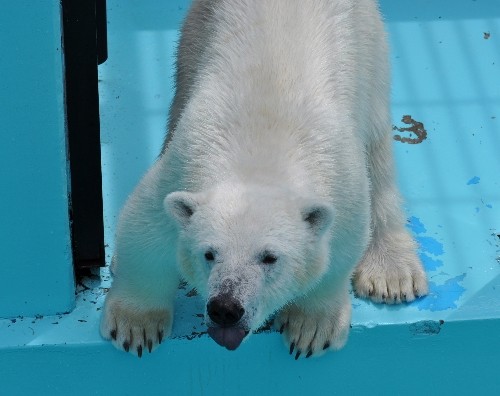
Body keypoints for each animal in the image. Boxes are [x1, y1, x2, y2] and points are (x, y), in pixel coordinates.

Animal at [100, 0, 426, 358]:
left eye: (270, 257)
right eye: (209, 253)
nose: (226, 308)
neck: (260, 158)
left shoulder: (343, 184)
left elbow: (341, 249)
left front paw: (311, 328)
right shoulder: (181, 166)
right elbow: (144, 231)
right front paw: (135, 326)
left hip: (369, 47)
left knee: (378, 149)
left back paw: (392, 274)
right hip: (194, 36)